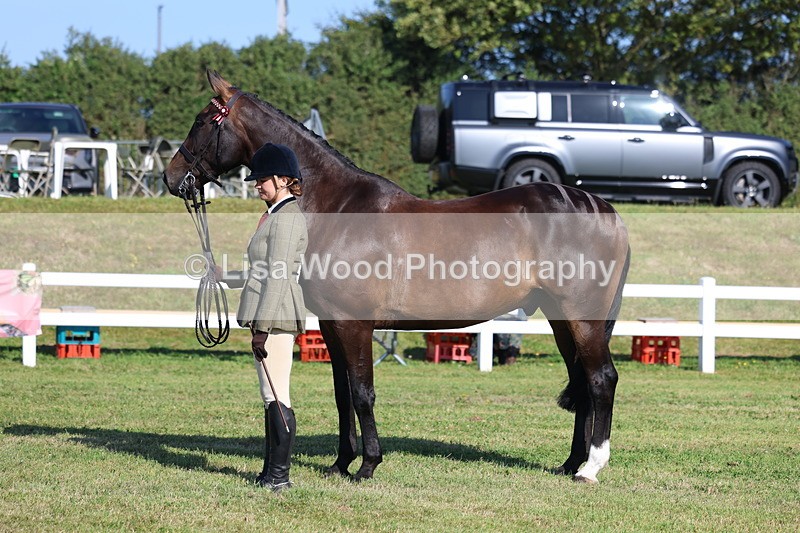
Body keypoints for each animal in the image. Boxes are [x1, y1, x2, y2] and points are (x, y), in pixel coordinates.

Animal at [163, 70, 631, 484]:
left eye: (201, 121)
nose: (171, 178)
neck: (337, 207)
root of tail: (602, 208)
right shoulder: (331, 324)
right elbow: (342, 395)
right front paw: (340, 464)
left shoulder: (354, 324)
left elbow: (362, 392)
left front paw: (368, 465)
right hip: (561, 319)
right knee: (583, 382)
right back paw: (570, 463)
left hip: (583, 318)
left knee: (601, 380)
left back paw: (591, 467)